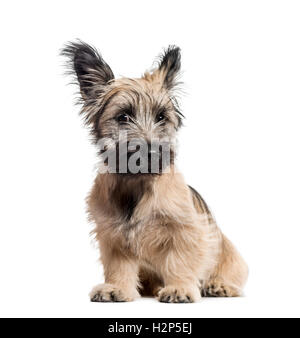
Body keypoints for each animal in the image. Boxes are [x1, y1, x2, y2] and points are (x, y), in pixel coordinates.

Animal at [61, 41, 248, 302]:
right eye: (123, 116)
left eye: (161, 116)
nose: (150, 153)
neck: (137, 183)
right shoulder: (113, 236)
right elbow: (119, 266)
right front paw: (117, 287)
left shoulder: (185, 230)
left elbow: (180, 259)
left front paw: (179, 288)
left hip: (228, 254)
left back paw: (219, 285)